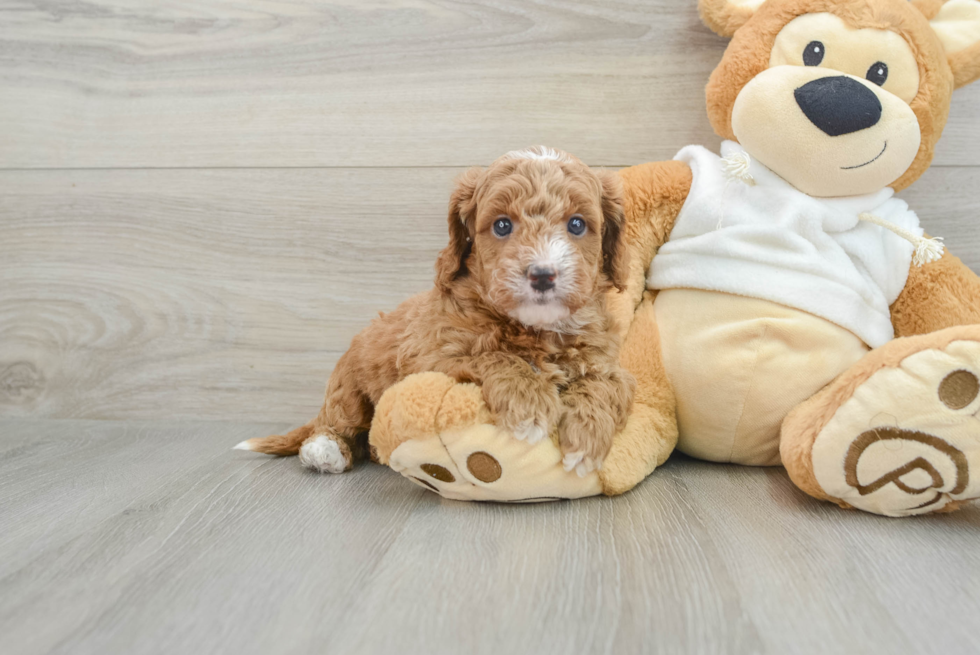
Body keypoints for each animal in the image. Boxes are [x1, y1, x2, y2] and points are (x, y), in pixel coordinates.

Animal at [237, 147, 636, 476]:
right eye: (502, 225)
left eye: (577, 224)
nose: (542, 274)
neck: (534, 329)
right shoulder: (430, 356)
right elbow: (493, 357)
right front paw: (530, 405)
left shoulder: (607, 362)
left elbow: (606, 386)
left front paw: (586, 439)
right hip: (347, 383)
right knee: (339, 421)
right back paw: (325, 450)